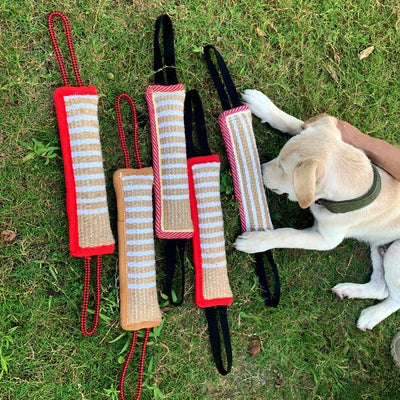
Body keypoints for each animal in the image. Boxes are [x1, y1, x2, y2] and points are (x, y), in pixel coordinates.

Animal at [236, 89, 400, 330]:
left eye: (283, 169)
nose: (261, 169)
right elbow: (295, 123)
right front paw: (263, 105)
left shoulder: (325, 240)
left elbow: (287, 235)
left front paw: (255, 242)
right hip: (379, 246)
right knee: (380, 287)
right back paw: (349, 291)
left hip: (396, 251)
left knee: (394, 297)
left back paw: (371, 315)